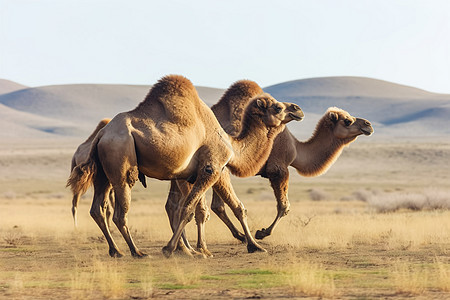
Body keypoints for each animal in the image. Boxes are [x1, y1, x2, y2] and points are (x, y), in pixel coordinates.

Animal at [67, 74, 304, 258]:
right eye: (277, 107)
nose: (298, 109)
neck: (231, 142)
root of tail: (101, 134)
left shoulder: (203, 173)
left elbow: (221, 208)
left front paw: (250, 245)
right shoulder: (213, 168)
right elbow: (193, 209)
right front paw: (173, 249)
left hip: (103, 171)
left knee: (98, 209)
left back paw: (116, 251)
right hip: (121, 159)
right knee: (119, 212)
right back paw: (137, 252)